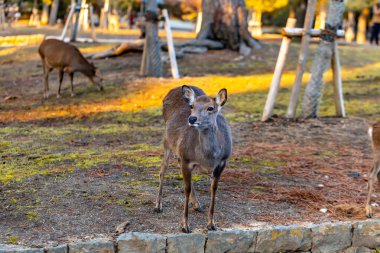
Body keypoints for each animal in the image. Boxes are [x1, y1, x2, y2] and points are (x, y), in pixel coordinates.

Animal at [154, 85, 232, 233]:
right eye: (192, 106)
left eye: (210, 108)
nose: (192, 119)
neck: (208, 157)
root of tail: (173, 89)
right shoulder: (186, 159)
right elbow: (186, 189)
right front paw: (184, 225)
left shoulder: (222, 162)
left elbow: (213, 189)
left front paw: (211, 224)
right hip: (167, 141)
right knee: (162, 170)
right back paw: (158, 205)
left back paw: (196, 204)